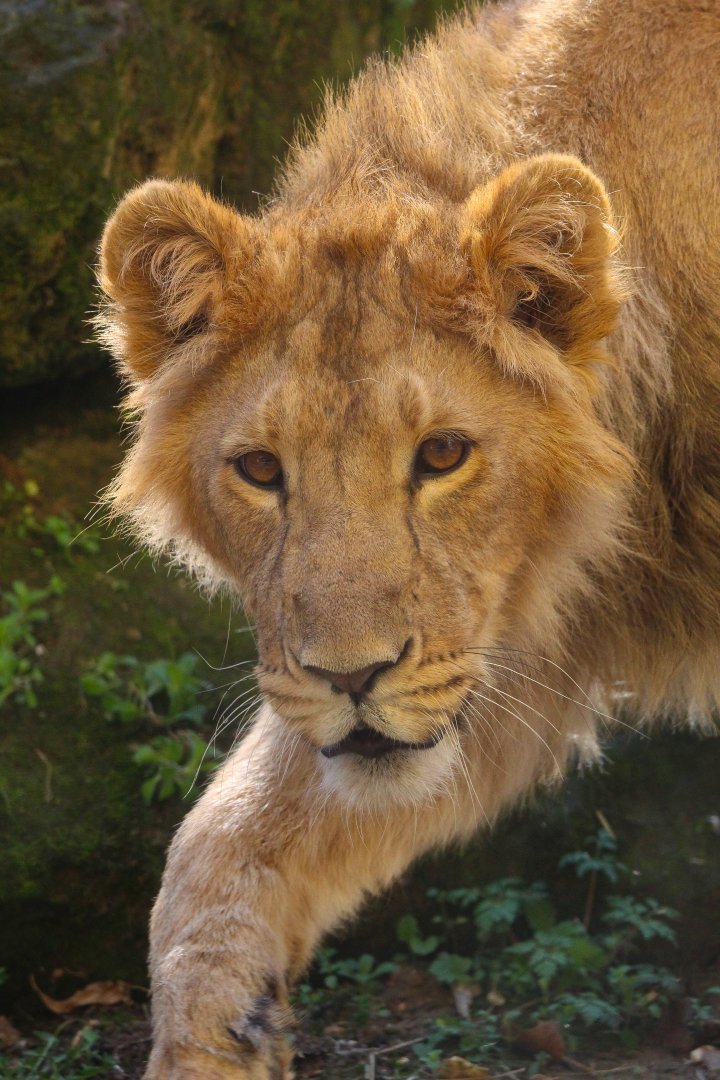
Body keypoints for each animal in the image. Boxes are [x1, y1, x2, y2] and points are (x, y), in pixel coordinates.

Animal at [96, 0, 720, 1075]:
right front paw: (215, 1034)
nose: (352, 678)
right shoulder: (494, 660)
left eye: (442, 454)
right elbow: (219, 843)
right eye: (260, 470)